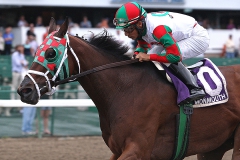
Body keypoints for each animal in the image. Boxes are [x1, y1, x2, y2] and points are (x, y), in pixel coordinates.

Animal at [17, 17, 240, 160]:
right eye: (36, 51)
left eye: (51, 53)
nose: (24, 90)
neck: (124, 89)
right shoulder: (117, 150)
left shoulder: (138, 149)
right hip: (212, 147)